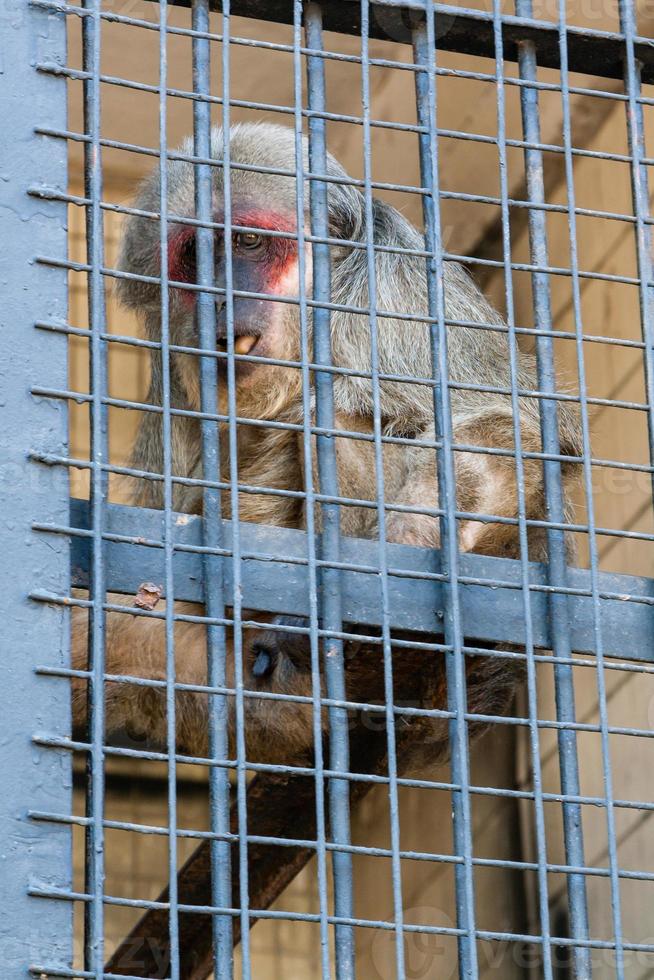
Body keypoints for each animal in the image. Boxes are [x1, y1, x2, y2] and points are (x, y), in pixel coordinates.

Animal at [72, 120, 580, 764]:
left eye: (247, 243)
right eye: (195, 255)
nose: (218, 294)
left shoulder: (392, 288)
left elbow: (524, 430)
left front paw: (407, 545)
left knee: (338, 411)